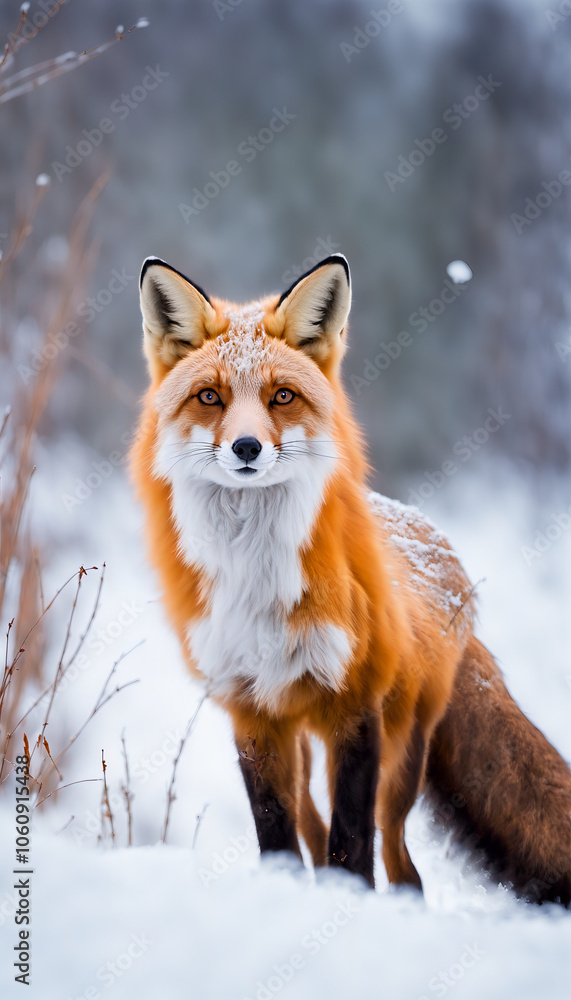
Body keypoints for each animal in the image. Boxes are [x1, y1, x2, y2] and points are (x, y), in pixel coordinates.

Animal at [131, 253, 571, 904]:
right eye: (209, 397)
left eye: (282, 396)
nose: (246, 447)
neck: (258, 575)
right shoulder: (251, 711)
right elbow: (278, 832)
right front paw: (285, 892)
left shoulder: (355, 704)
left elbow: (352, 844)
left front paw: (349, 903)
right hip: (301, 740)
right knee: (312, 826)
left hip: (402, 759)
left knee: (399, 860)